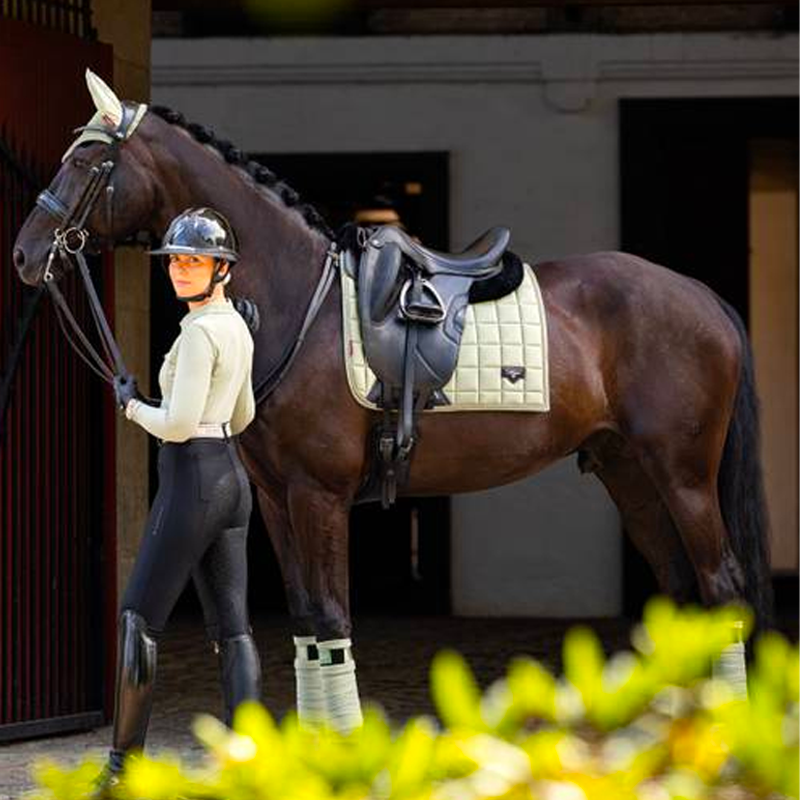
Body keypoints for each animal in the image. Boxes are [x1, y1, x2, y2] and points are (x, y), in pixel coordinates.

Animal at [12, 98, 772, 708]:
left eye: (89, 161)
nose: (25, 254)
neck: (300, 301)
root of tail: (702, 296)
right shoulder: (279, 499)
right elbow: (307, 627)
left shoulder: (319, 494)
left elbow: (332, 623)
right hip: (630, 473)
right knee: (683, 592)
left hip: (682, 475)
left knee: (722, 584)